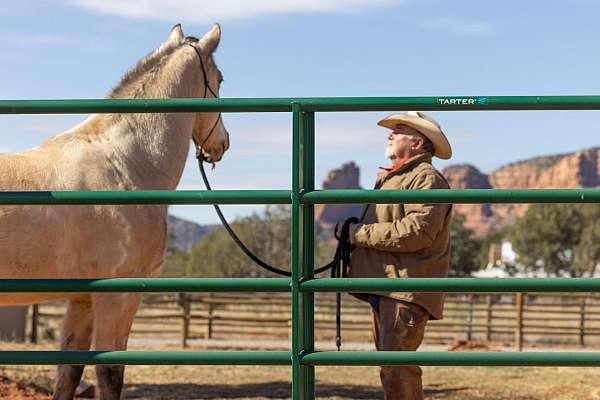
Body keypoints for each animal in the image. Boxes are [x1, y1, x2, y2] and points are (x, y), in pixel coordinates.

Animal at [0, 24, 229, 400]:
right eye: (220, 79)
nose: (221, 143)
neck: (124, 162)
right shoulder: (118, 296)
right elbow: (109, 373)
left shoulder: (82, 300)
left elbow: (69, 372)